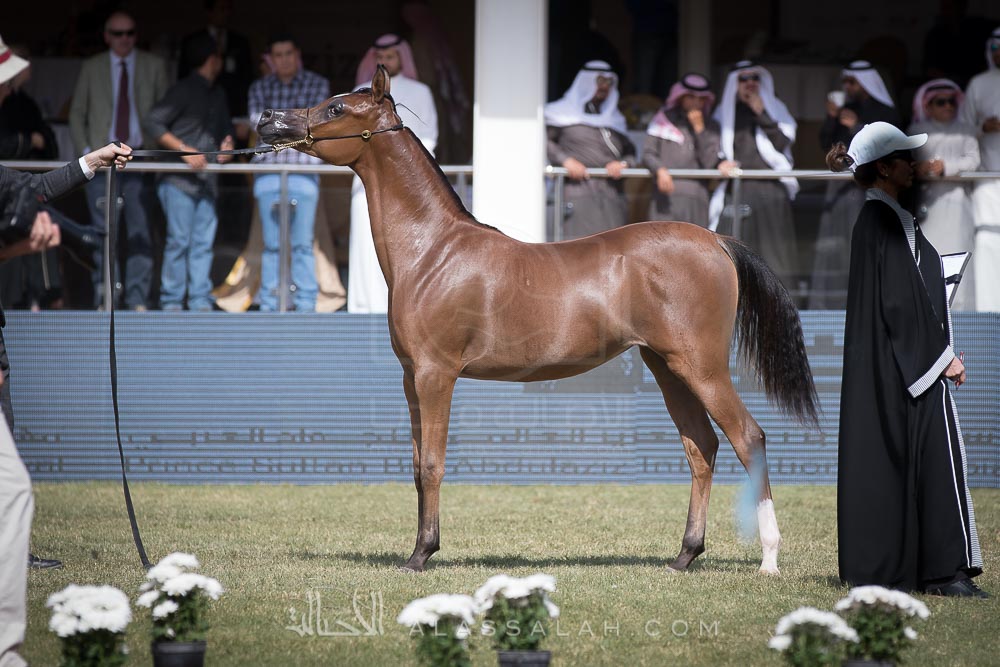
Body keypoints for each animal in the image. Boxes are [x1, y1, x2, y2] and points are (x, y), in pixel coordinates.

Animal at [257, 65, 818, 574]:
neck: (433, 251)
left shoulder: (436, 375)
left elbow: (433, 465)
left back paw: (769, 559)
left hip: (700, 366)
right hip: (667, 368)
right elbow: (416, 466)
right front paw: (419, 548)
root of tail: (716, 240)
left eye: (336, 108)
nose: (267, 119)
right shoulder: (410, 377)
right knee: (702, 448)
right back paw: (684, 556)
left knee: (748, 438)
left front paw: (421, 555)